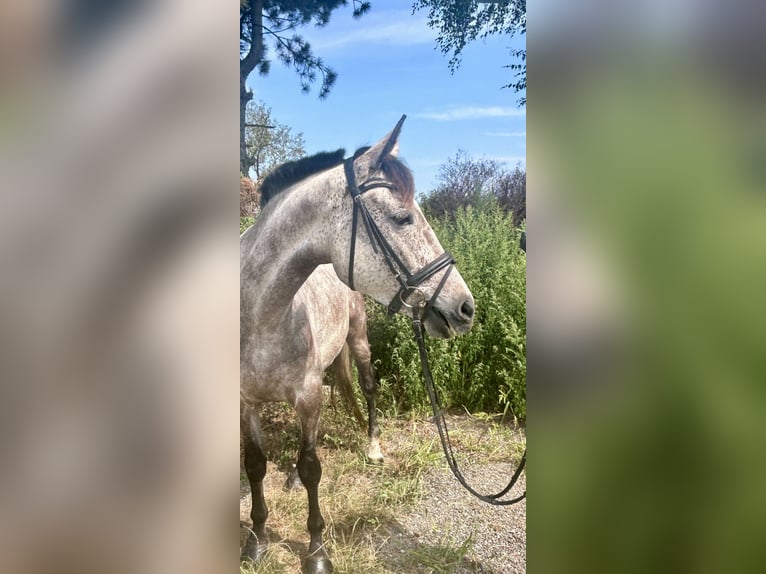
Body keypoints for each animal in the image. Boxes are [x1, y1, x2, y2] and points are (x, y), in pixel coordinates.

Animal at [240, 118, 474, 574]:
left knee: (367, 389)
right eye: (403, 218)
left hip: (359, 343)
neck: (262, 315)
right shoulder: (246, 403)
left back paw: (373, 447)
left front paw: (316, 552)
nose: (465, 307)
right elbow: (256, 466)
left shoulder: (308, 394)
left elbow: (313, 468)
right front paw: (256, 540)